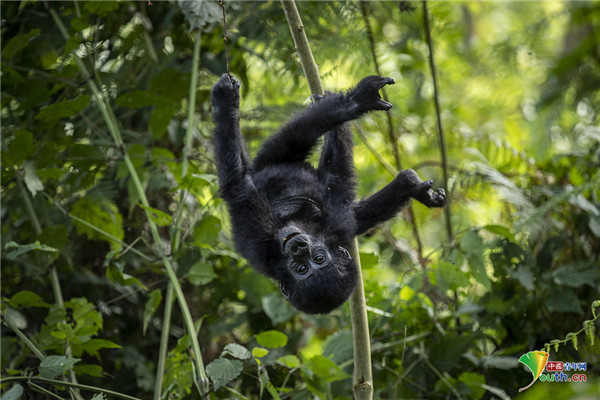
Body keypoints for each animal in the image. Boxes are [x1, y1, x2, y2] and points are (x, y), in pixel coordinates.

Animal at [211, 73, 446, 314]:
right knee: (297, 138)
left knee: (299, 137)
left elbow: (336, 183)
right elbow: (239, 185)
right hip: (269, 162)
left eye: (318, 259)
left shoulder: (338, 227)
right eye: (302, 269)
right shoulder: (260, 243)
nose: (298, 248)